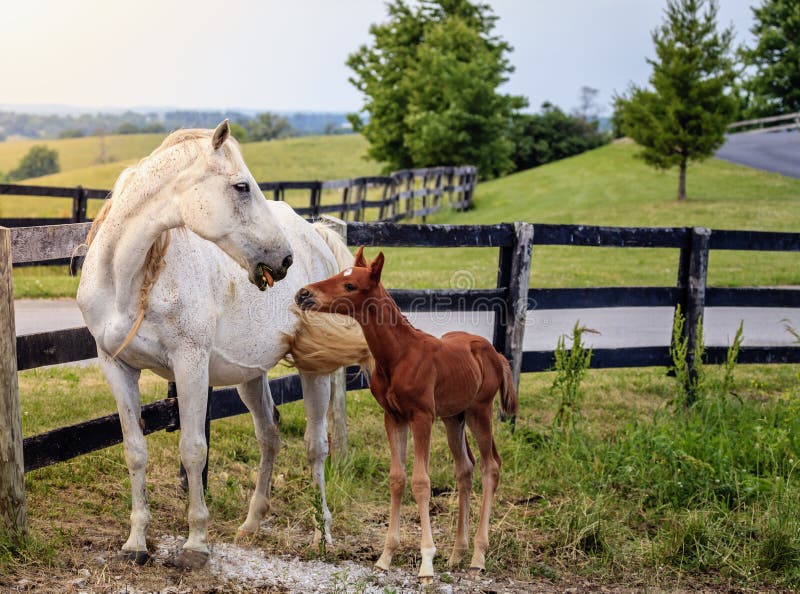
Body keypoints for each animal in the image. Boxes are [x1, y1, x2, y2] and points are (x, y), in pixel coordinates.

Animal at [76, 119, 370, 564]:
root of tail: (316, 236)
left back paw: (324, 535)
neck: (128, 280)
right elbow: (135, 451)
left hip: (313, 370)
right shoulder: (116, 365)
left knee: (316, 446)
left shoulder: (190, 364)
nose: (283, 259)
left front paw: (195, 544)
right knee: (269, 435)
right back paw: (251, 524)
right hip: (249, 375)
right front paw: (136, 542)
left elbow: (193, 450)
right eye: (241, 186)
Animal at [296, 245, 520, 580]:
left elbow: (421, 482)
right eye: (337, 274)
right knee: (464, 468)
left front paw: (426, 562)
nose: (303, 294)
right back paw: (457, 553)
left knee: (490, 466)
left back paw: (478, 556)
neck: (399, 355)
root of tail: (495, 353)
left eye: (350, 285)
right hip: (454, 417)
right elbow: (397, 479)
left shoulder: (421, 417)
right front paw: (386, 556)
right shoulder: (393, 417)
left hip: (479, 411)